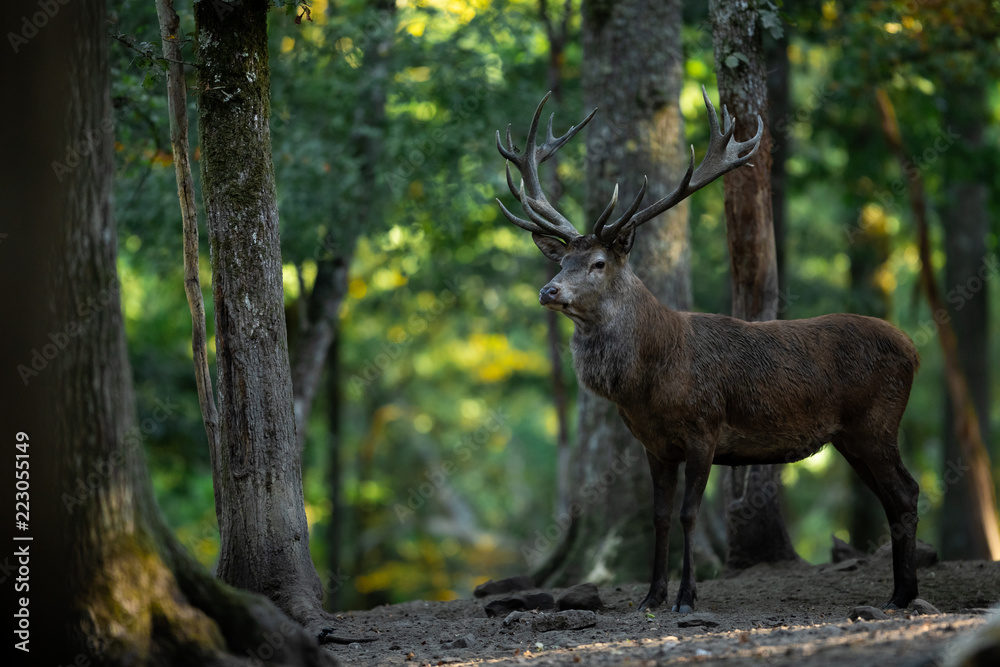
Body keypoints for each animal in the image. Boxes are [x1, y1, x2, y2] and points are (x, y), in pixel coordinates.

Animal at [495, 88, 921, 613]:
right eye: (562, 260)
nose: (548, 291)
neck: (648, 381)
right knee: (893, 497)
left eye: (597, 262)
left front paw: (686, 597)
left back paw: (903, 594)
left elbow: (688, 514)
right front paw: (652, 596)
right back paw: (901, 592)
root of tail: (913, 349)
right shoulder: (654, 445)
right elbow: (659, 516)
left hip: (876, 421)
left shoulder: (705, 428)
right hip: (851, 435)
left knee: (906, 492)